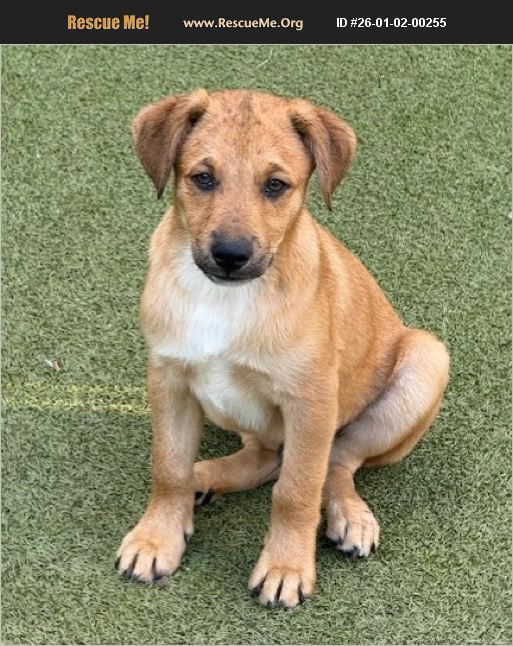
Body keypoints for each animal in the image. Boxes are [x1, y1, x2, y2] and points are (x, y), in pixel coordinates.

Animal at [116, 89, 450, 609]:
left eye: (275, 186)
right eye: (203, 178)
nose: (230, 255)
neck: (225, 298)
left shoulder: (310, 401)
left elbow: (296, 491)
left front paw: (285, 568)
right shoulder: (169, 380)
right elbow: (168, 467)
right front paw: (156, 539)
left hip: (425, 361)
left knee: (337, 462)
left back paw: (350, 516)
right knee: (265, 456)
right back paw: (203, 478)